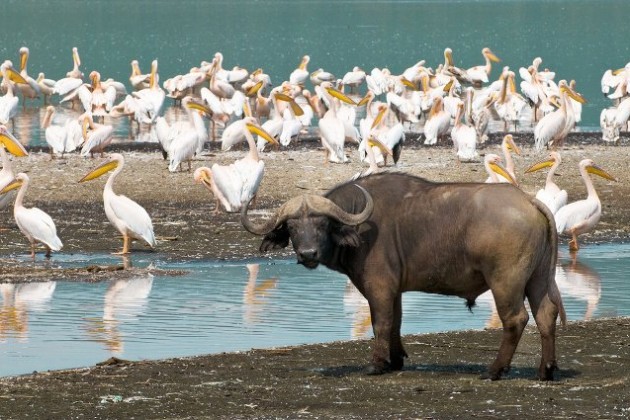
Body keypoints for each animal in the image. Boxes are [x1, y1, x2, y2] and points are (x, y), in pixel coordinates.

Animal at [242, 172, 568, 382]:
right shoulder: (395, 290)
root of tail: (527, 200)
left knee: (516, 320)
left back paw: (495, 370)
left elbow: (381, 323)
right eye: (292, 227)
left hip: (505, 283)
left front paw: (376, 364)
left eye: (322, 224)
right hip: (538, 279)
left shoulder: (379, 287)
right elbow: (396, 322)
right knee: (546, 314)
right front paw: (395, 360)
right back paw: (546, 370)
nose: (308, 253)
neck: (361, 229)